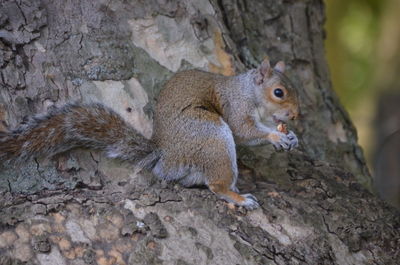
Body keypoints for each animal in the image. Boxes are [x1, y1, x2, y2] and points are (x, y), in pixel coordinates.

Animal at [0, 57, 298, 208]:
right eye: (278, 92)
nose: (295, 115)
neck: (248, 91)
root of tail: (165, 156)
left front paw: (291, 137)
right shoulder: (236, 106)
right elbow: (243, 130)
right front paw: (276, 136)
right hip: (210, 135)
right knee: (217, 184)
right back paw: (238, 196)